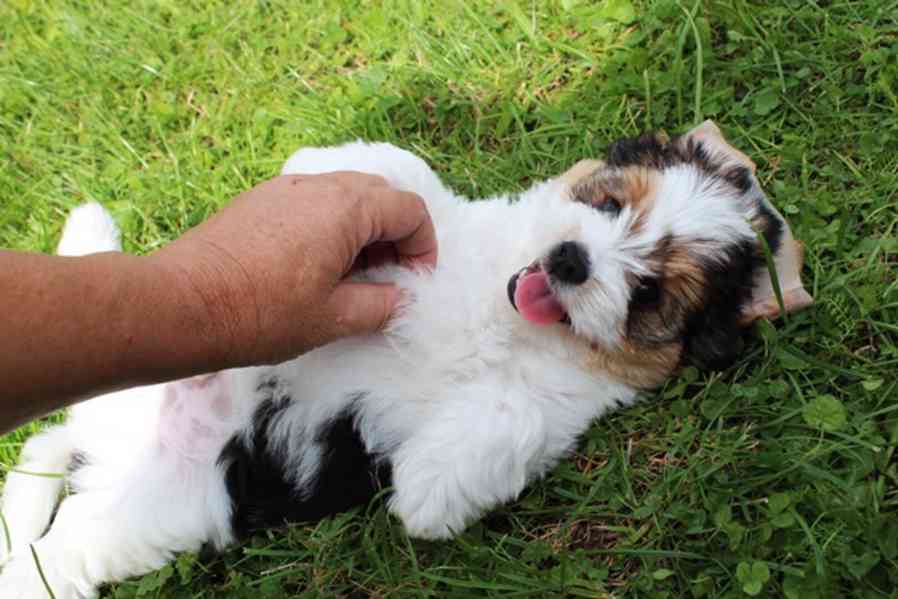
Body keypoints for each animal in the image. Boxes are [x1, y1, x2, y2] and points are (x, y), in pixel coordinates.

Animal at [0, 119, 812, 596]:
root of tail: (109, 443)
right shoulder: (438, 233)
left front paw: (424, 493)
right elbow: (404, 181)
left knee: (54, 539)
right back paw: (88, 228)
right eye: (610, 204)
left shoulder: (553, 404)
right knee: (48, 438)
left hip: (148, 507)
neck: (503, 307)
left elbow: (500, 426)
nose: (572, 261)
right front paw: (324, 168)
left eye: (647, 294)